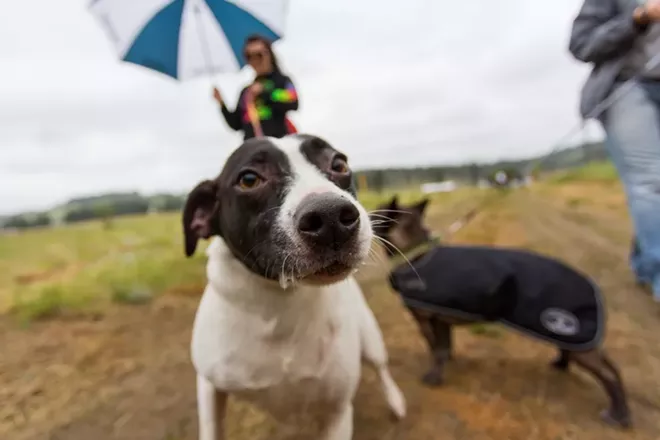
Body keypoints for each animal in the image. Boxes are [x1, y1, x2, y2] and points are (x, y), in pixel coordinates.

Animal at [183, 134, 404, 440]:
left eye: (339, 164)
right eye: (249, 179)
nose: (331, 216)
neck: (280, 306)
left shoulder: (338, 411)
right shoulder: (209, 385)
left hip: (371, 340)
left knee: (382, 368)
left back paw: (395, 400)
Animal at [368, 197, 632, 430]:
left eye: (378, 212)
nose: (363, 213)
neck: (416, 251)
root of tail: (592, 286)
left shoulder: (430, 319)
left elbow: (437, 349)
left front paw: (434, 375)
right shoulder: (443, 321)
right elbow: (445, 346)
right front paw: (449, 361)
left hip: (575, 338)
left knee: (610, 374)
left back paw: (619, 415)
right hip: (574, 337)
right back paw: (561, 365)